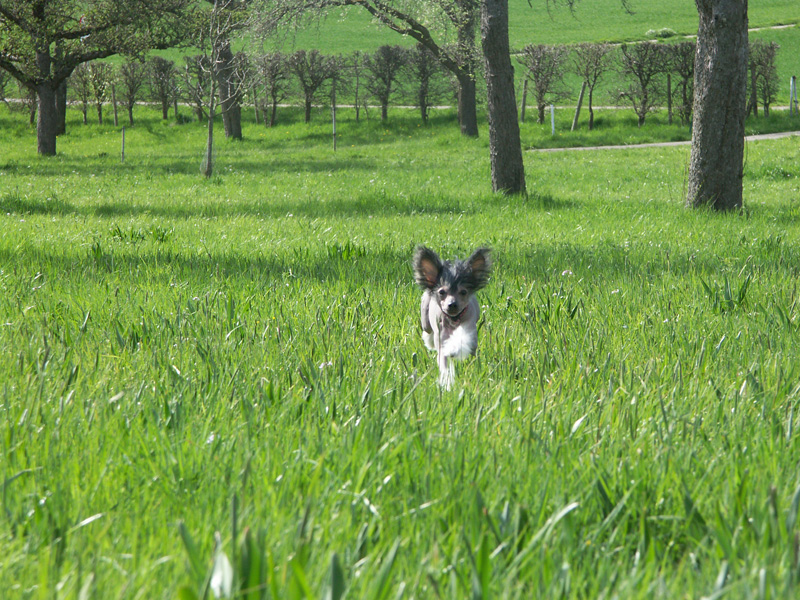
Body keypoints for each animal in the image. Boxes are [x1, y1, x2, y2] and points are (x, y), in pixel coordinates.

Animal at [416, 245, 490, 390]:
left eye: (463, 292)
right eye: (442, 292)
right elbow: (444, 363)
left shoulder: (470, 333)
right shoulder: (441, 338)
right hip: (425, 320)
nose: (452, 304)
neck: (455, 319)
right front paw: (447, 383)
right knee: (427, 331)